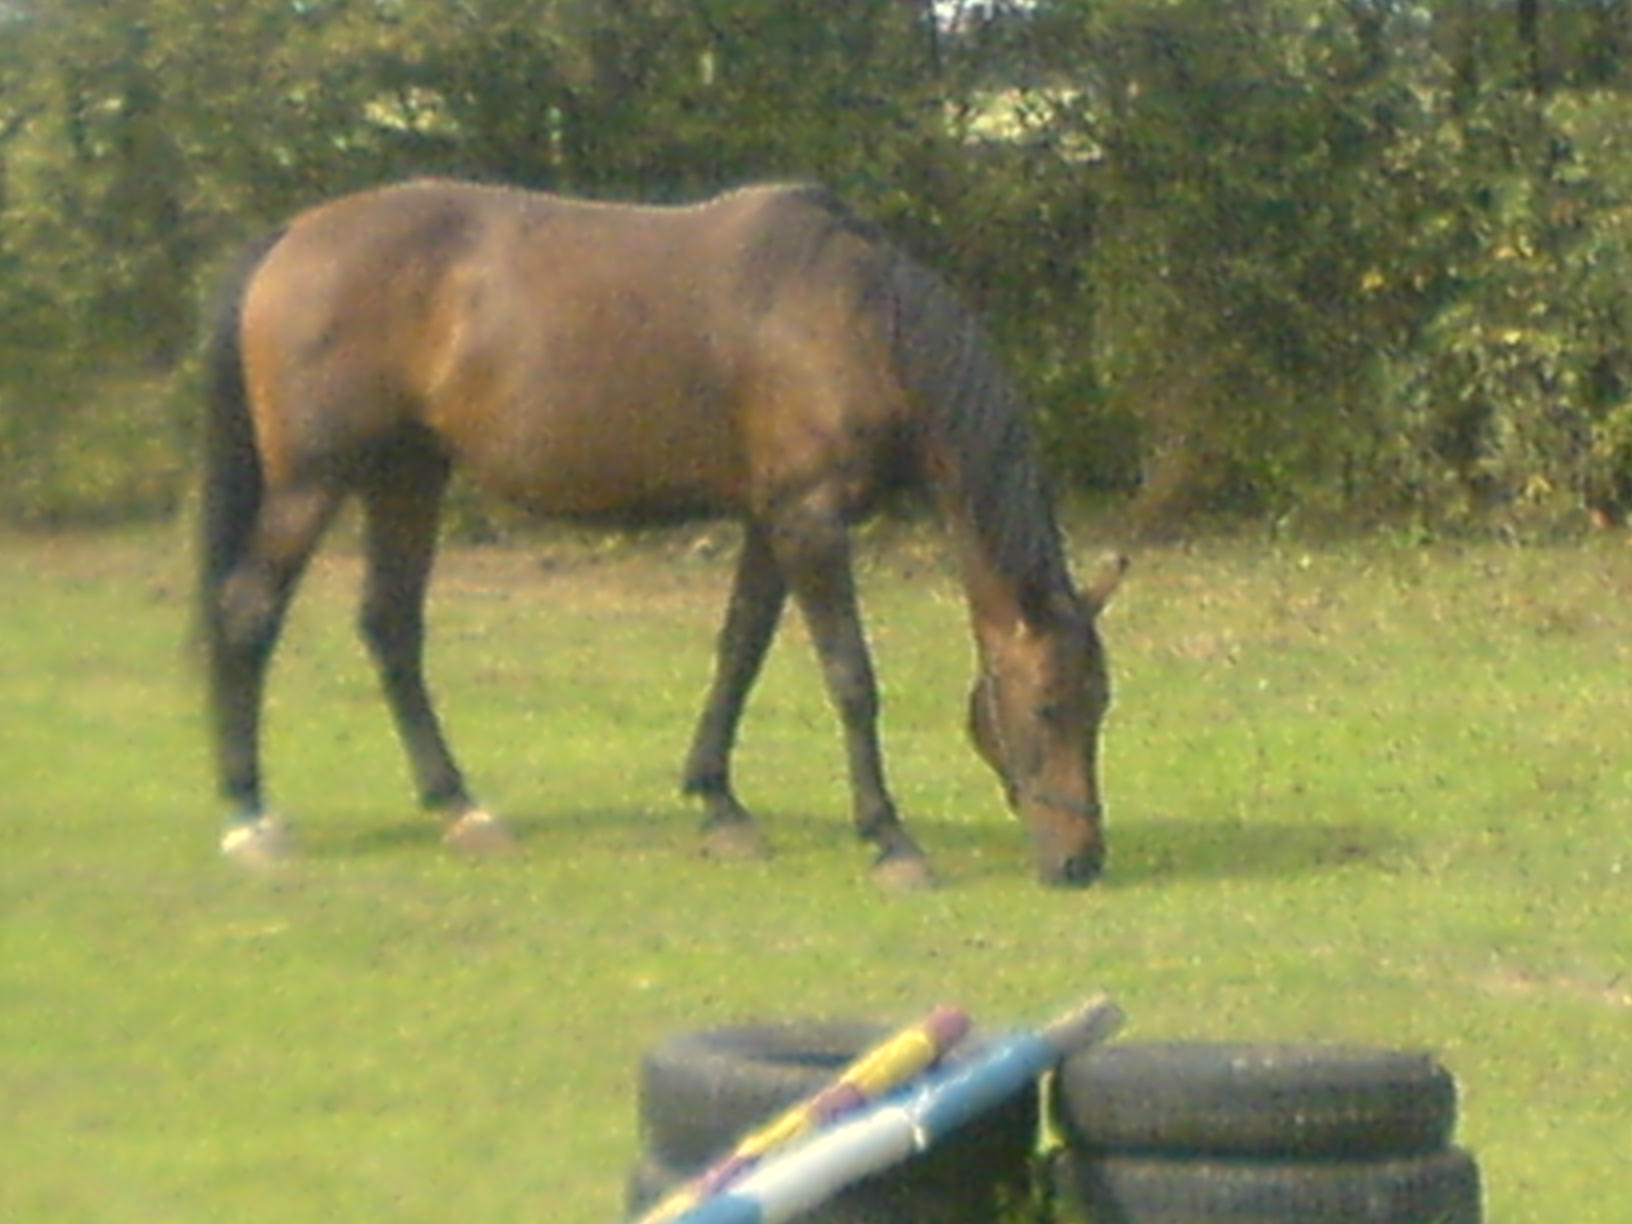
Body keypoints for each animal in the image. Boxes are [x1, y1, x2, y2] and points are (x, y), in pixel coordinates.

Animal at [197, 177, 1122, 887]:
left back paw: (461, 809)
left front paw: (721, 806)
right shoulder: (810, 522)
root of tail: (292, 237)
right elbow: (851, 679)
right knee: (247, 615)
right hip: (313, 485)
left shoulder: (770, 521)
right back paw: (251, 818)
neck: (856, 319)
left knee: (390, 627)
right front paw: (890, 840)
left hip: (407, 477)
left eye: (1101, 702)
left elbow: (739, 652)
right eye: (1046, 705)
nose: (1080, 860)